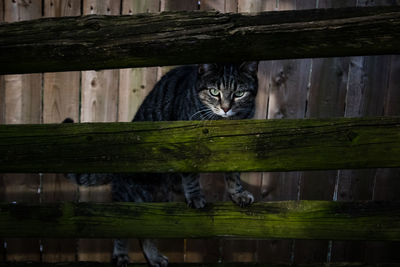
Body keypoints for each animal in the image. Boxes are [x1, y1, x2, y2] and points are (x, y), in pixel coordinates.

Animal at [65, 61, 260, 266]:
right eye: (214, 92)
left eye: (239, 93)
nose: (225, 108)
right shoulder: (187, 139)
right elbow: (191, 174)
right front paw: (195, 196)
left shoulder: (237, 145)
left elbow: (233, 174)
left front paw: (237, 194)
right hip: (133, 196)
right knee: (123, 229)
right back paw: (121, 254)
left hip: (159, 200)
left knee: (148, 231)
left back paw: (154, 257)